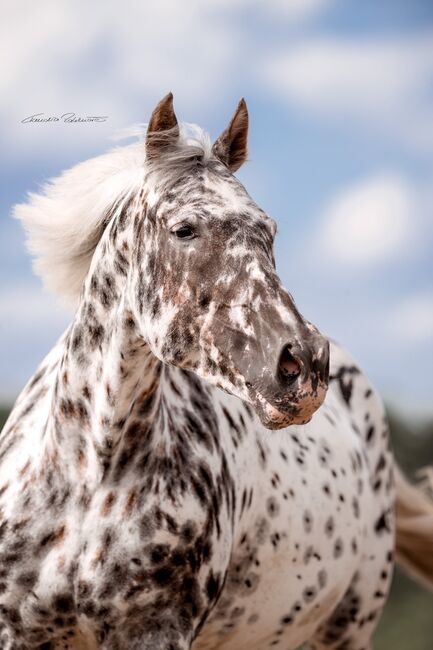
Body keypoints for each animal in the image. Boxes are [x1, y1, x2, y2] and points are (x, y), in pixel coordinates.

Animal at [1, 93, 432, 650]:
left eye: (269, 231)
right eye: (184, 229)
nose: (306, 365)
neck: (87, 476)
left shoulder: (157, 632)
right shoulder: (20, 632)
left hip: (346, 630)